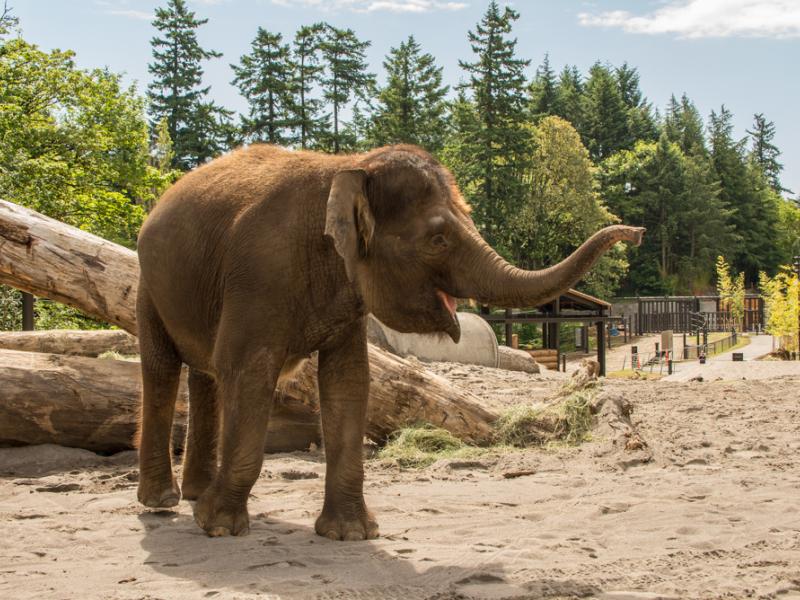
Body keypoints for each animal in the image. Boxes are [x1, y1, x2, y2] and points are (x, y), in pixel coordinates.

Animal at [136, 144, 644, 540]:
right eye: (438, 239)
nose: (635, 232)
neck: (348, 165)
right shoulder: (258, 276)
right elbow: (247, 371)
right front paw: (218, 527)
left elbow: (347, 383)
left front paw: (351, 534)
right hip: (149, 285)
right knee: (162, 370)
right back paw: (163, 501)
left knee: (204, 375)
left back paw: (194, 493)